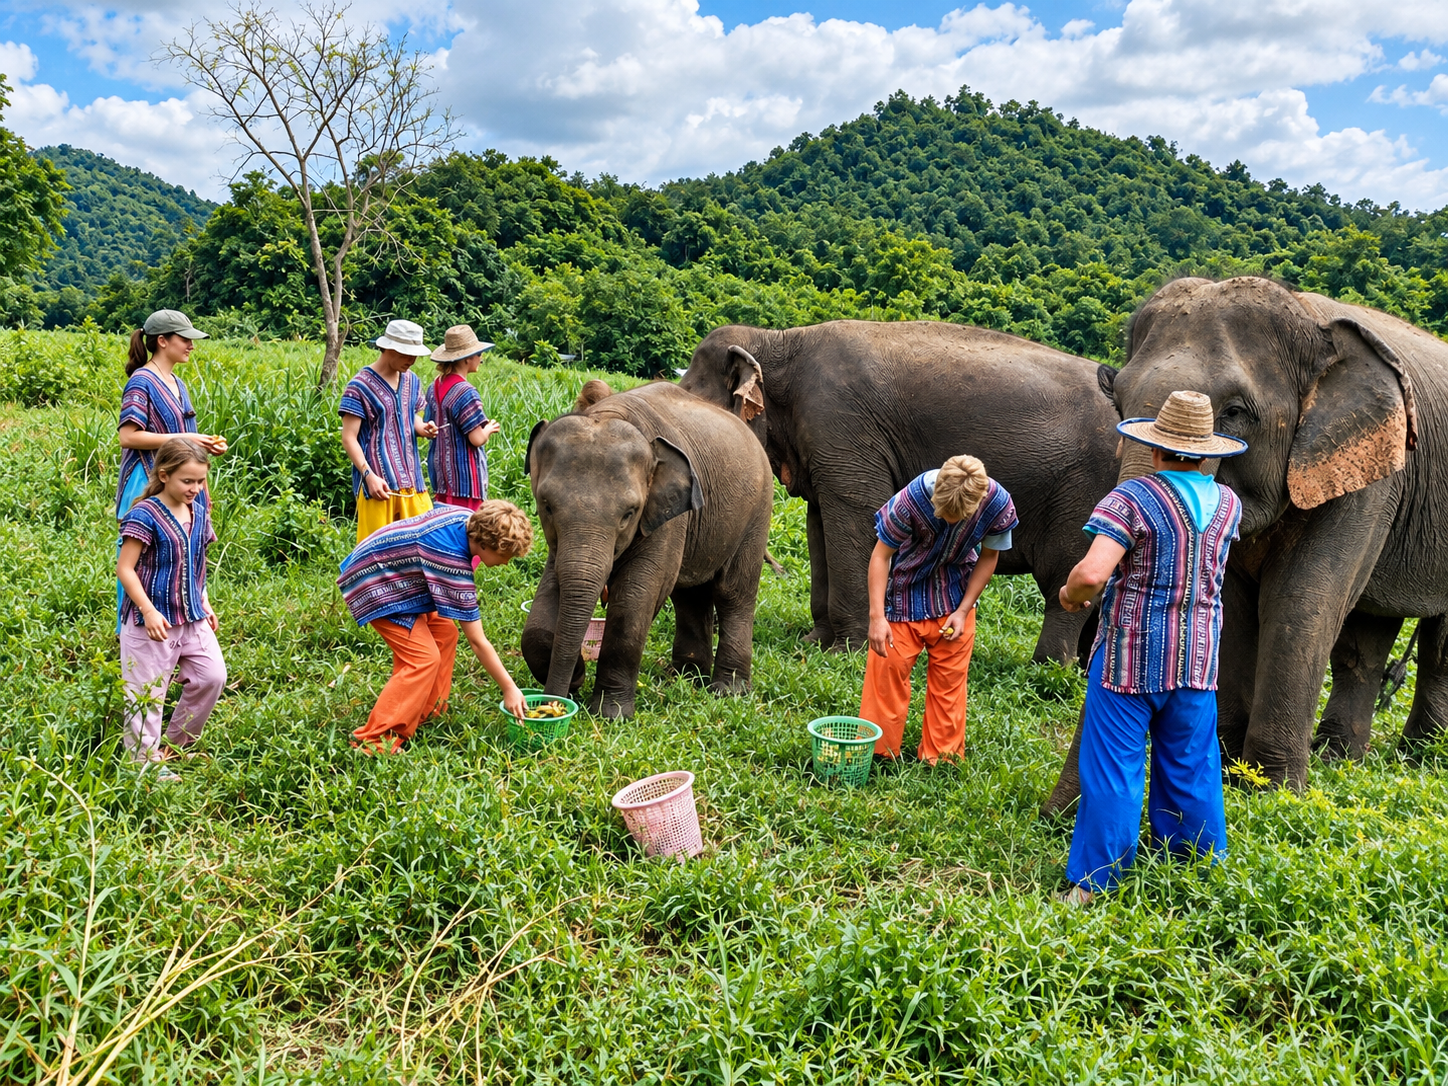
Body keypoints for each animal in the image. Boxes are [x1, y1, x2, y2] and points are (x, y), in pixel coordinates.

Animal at [521, 379, 774, 718]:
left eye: (629, 513)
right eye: (546, 506)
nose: (556, 702)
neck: (609, 413)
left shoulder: (666, 516)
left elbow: (634, 599)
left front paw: (611, 714)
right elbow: (549, 593)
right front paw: (577, 675)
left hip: (757, 512)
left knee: (734, 593)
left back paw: (727, 690)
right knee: (689, 595)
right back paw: (685, 677)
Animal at [677, 320, 1123, 662]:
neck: (778, 340)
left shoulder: (843, 427)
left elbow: (857, 516)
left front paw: (846, 652)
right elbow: (819, 524)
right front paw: (815, 642)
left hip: (1086, 490)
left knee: (1067, 577)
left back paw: (1048, 667)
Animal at [1043, 275, 1448, 805]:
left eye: (1235, 412)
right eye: (1118, 402)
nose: (1052, 816)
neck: (1311, 323)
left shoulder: (1369, 475)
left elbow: (1303, 600)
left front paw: (1273, 793)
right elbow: (1227, 603)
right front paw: (1232, 771)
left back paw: (1419, 757)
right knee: (1366, 640)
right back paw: (1339, 759)